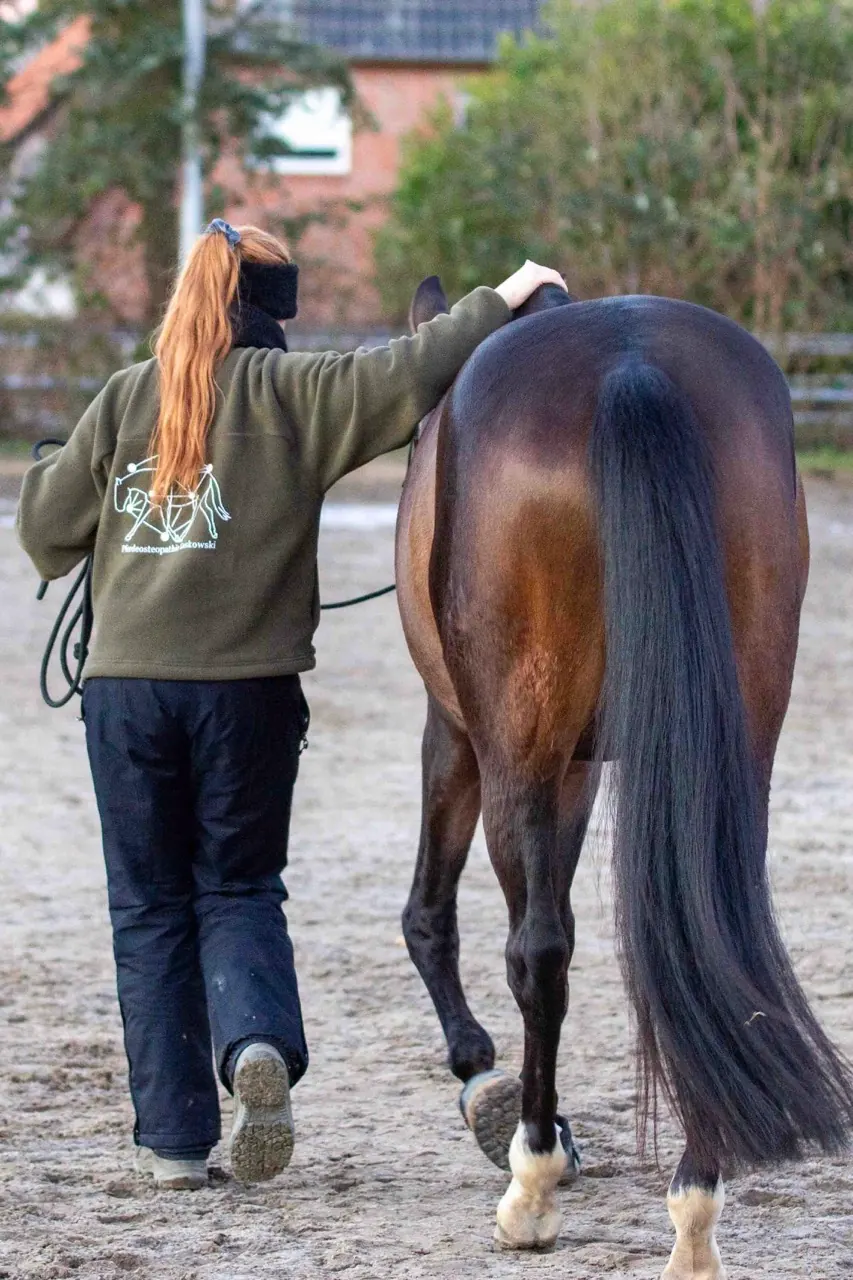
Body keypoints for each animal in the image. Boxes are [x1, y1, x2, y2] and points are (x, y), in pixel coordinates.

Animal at [394, 277, 853, 1274]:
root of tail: (630, 365)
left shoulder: (463, 737)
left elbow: (434, 915)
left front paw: (488, 1084)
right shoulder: (574, 767)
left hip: (517, 744)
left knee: (536, 952)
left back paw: (530, 1185)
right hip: (738, 731)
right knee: (704, 931)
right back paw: (694, 1210)